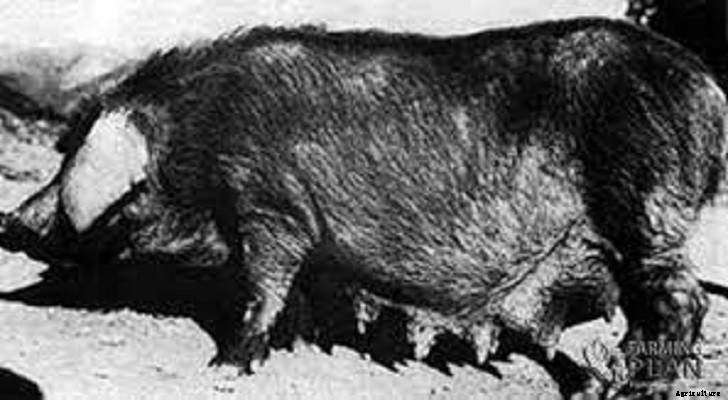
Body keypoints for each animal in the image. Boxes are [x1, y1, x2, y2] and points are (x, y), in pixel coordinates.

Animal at [0, 17, 724, 379]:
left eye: (67, 158)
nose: (10, 221)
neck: (200, 134)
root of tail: (708, 89)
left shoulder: (271, 207)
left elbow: (263, 283)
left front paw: (228, 365)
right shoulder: (303, 232)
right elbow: (302, 291)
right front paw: (304, 342)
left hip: (647, 212)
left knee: (682, 302)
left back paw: (633, 391)